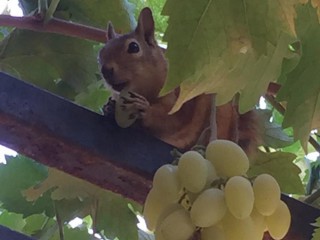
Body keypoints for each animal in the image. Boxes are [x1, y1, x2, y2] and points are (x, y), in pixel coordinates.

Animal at [99, 8, 258, 153]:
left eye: (134, 47)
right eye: (101, 53)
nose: (105, 70)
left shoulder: (181, 100)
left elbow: (173, 120)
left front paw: (144, 108)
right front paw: (109, 107)